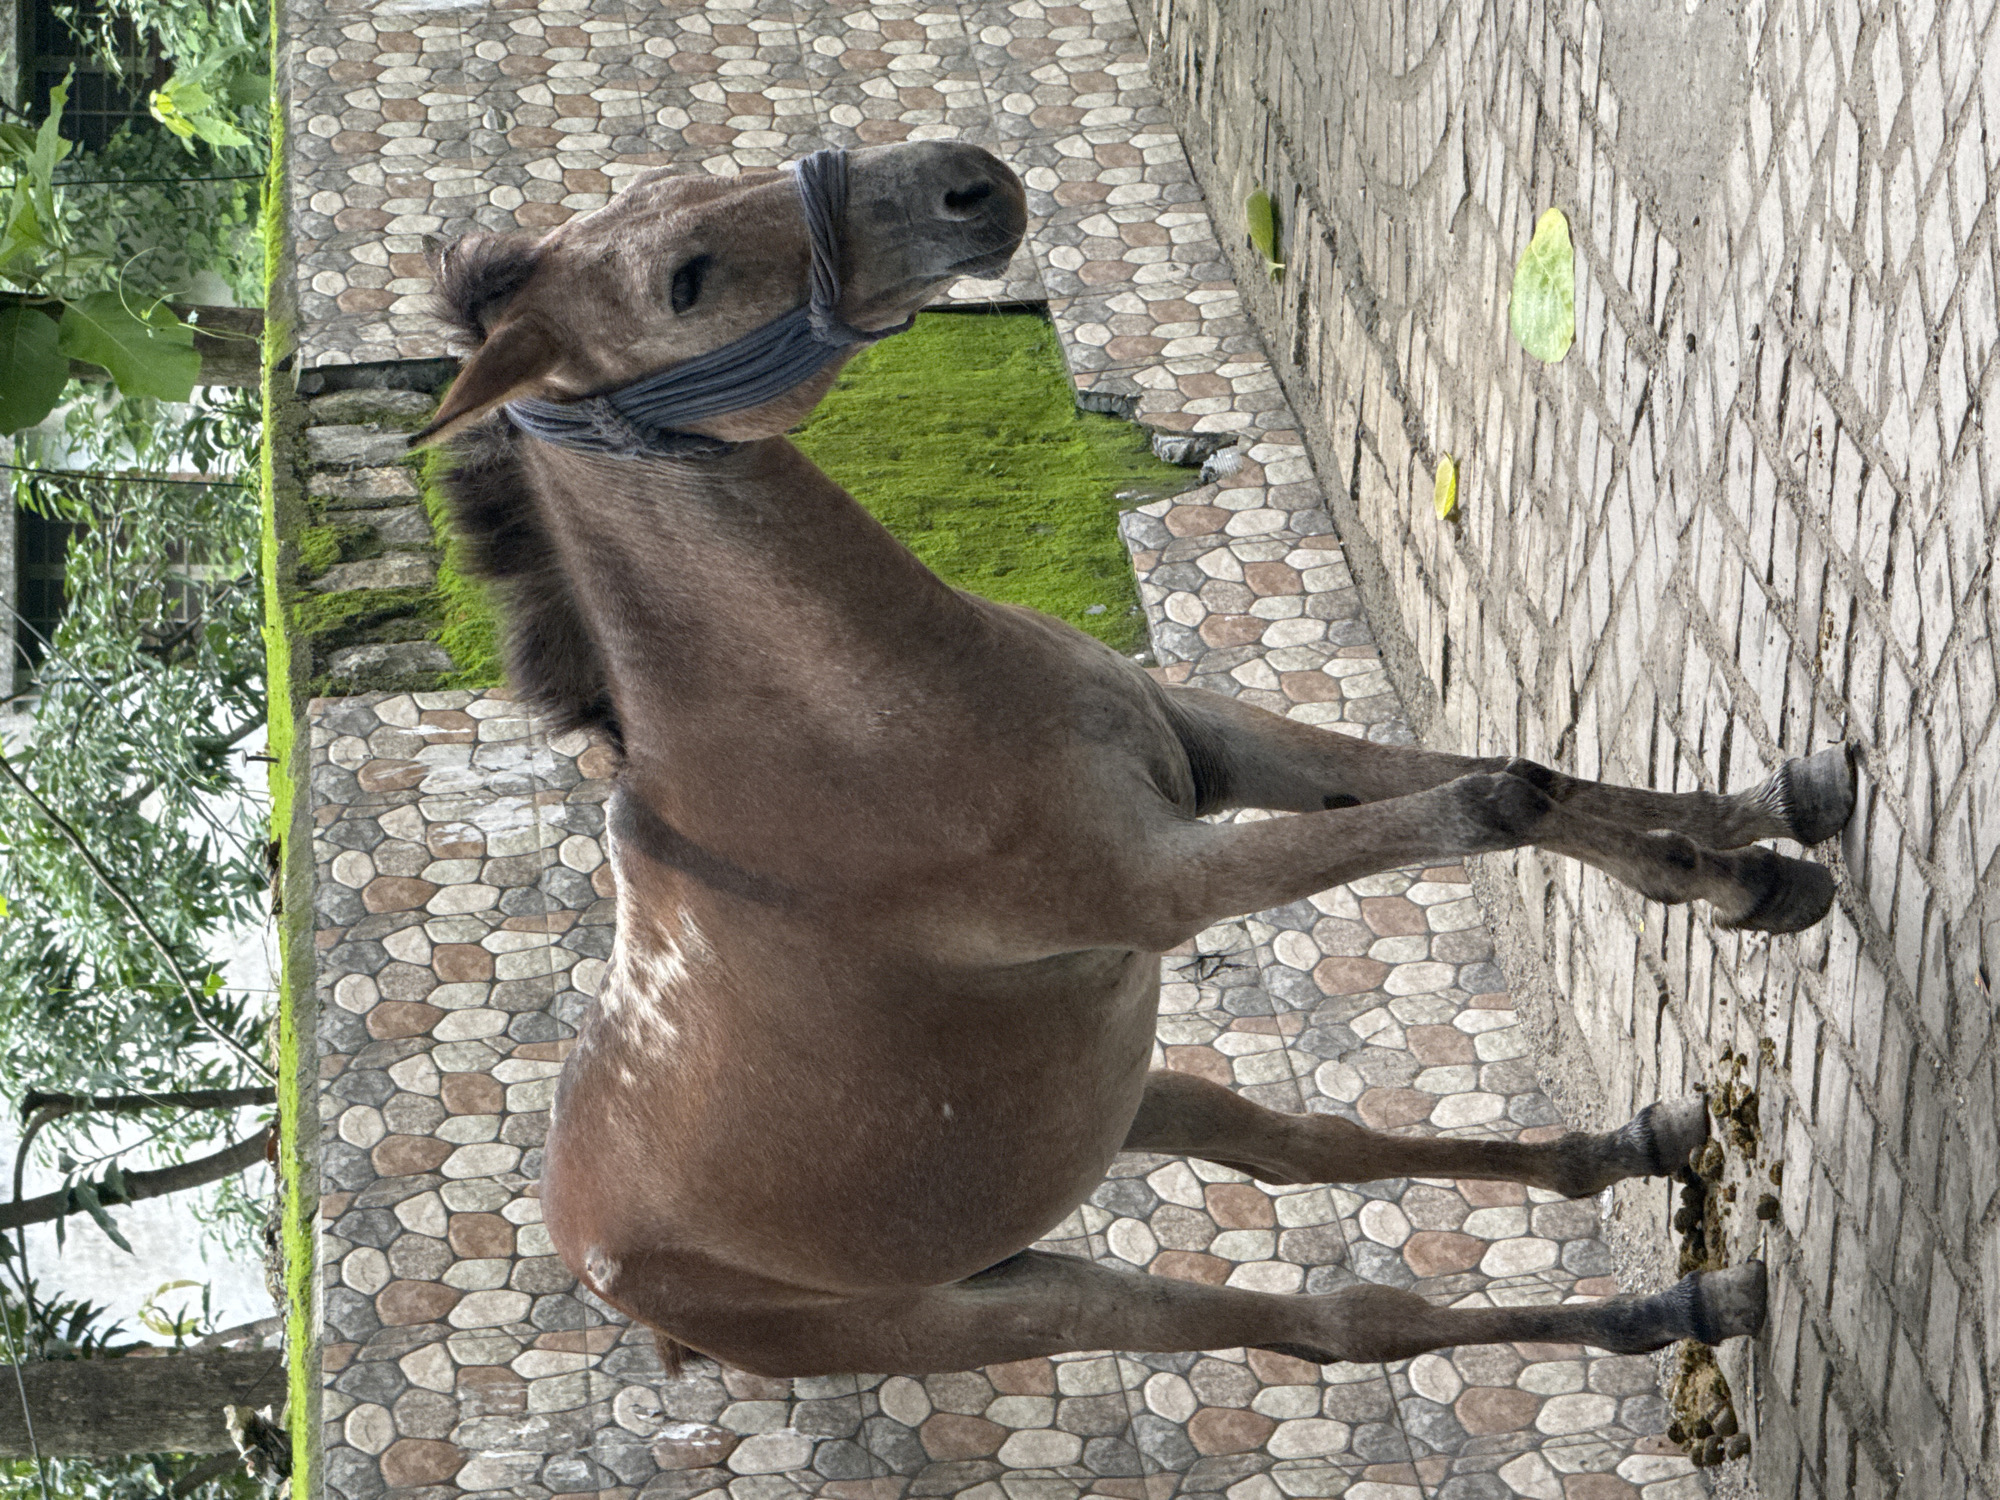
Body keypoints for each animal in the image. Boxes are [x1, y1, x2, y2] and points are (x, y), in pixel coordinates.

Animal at [412, 141, 1850, 1379]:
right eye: (684, 281)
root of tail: (609, 1280)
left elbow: (1500, 775)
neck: (855, 724)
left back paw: (1637, 1151)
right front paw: (1753, 877)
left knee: (1301, 1151)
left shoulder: (1205, 747)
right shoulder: (1170, 885)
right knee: (1336, 1325)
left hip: (1114, 1106)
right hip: (1012, 1306)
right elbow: (1489, 802)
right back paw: (1673, 1309)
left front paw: (1767, 835)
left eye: (694, 181)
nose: (962, 182)